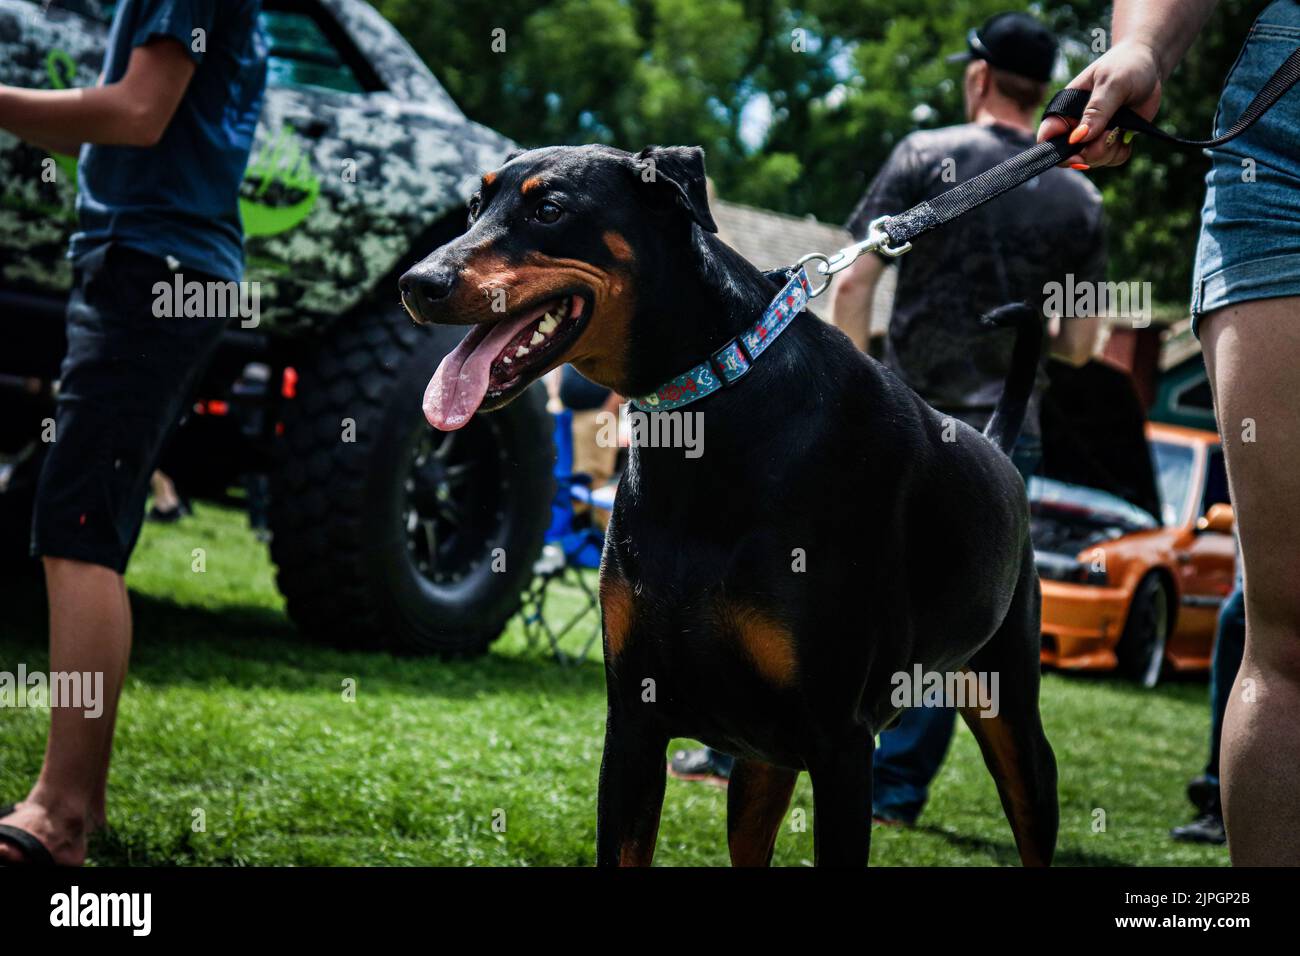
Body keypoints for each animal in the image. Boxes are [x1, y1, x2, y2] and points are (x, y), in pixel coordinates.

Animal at [403, 141, 1055, 868]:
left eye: (549, 210)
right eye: (474, 206)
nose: (415, 283)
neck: (710, 407)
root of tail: (998, 448)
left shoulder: (842, 744)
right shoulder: (634, 724)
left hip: (1011, 720)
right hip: (760, 764)